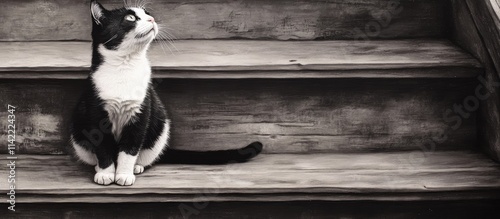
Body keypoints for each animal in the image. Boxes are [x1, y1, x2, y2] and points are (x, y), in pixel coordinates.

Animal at [72, 0, 264, 186]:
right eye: (130, 18)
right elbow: (103, 148)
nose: (152, 19)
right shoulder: (95, 112)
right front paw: (105, 174)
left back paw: (136, 167)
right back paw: (99, 167)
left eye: (147, 13)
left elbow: (129, 149)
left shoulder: (142, 112)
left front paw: (124, 175)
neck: (124, 67)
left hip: (160, 126)